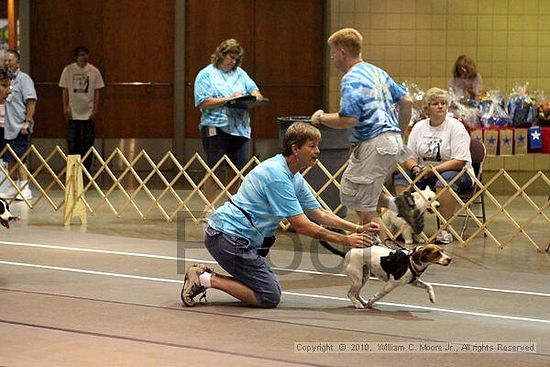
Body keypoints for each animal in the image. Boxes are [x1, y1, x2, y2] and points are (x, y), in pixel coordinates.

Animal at [324, 243, 452, 310]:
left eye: (443, 250)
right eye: (436, 253)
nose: (449, 259)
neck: (409, 260)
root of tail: (347, 253)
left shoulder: (413, 281)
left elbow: (429, 286)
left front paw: (432, 297)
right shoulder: (390, 284)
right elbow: (378, 295)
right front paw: (371, 302)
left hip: (364, 277)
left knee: (356, 293)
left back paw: (362, 302)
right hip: (357, 280)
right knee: (350, 293)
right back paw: (357, 304)